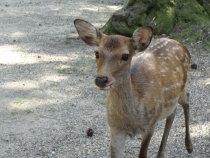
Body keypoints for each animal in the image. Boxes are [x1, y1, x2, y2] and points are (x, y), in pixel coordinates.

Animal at [74, 19, 194, 157]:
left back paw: (189, 146)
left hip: (182, 87)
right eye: (96, 53)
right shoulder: (115, 129)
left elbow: (142, 154)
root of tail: (181, 44)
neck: (131, 120)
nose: (101, 80)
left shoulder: (149, 125)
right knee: (172, 113)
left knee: (187, 101)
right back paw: (160, 154)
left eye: (125, 56)